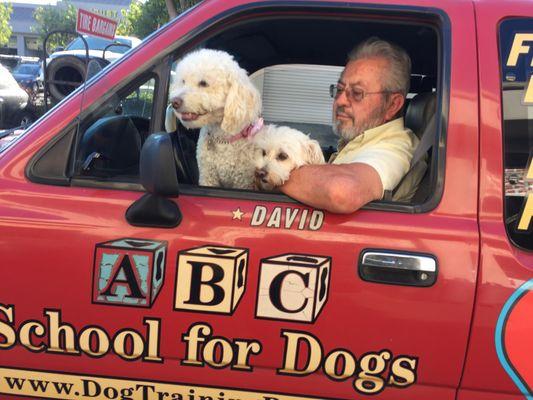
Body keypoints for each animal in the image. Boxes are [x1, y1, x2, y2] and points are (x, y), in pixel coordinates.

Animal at [168, 48, 262, 189]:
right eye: (183, 81)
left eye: (203, 83)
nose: (174, 102)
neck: (222, 138)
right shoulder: (208, 175)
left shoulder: (243, 181)